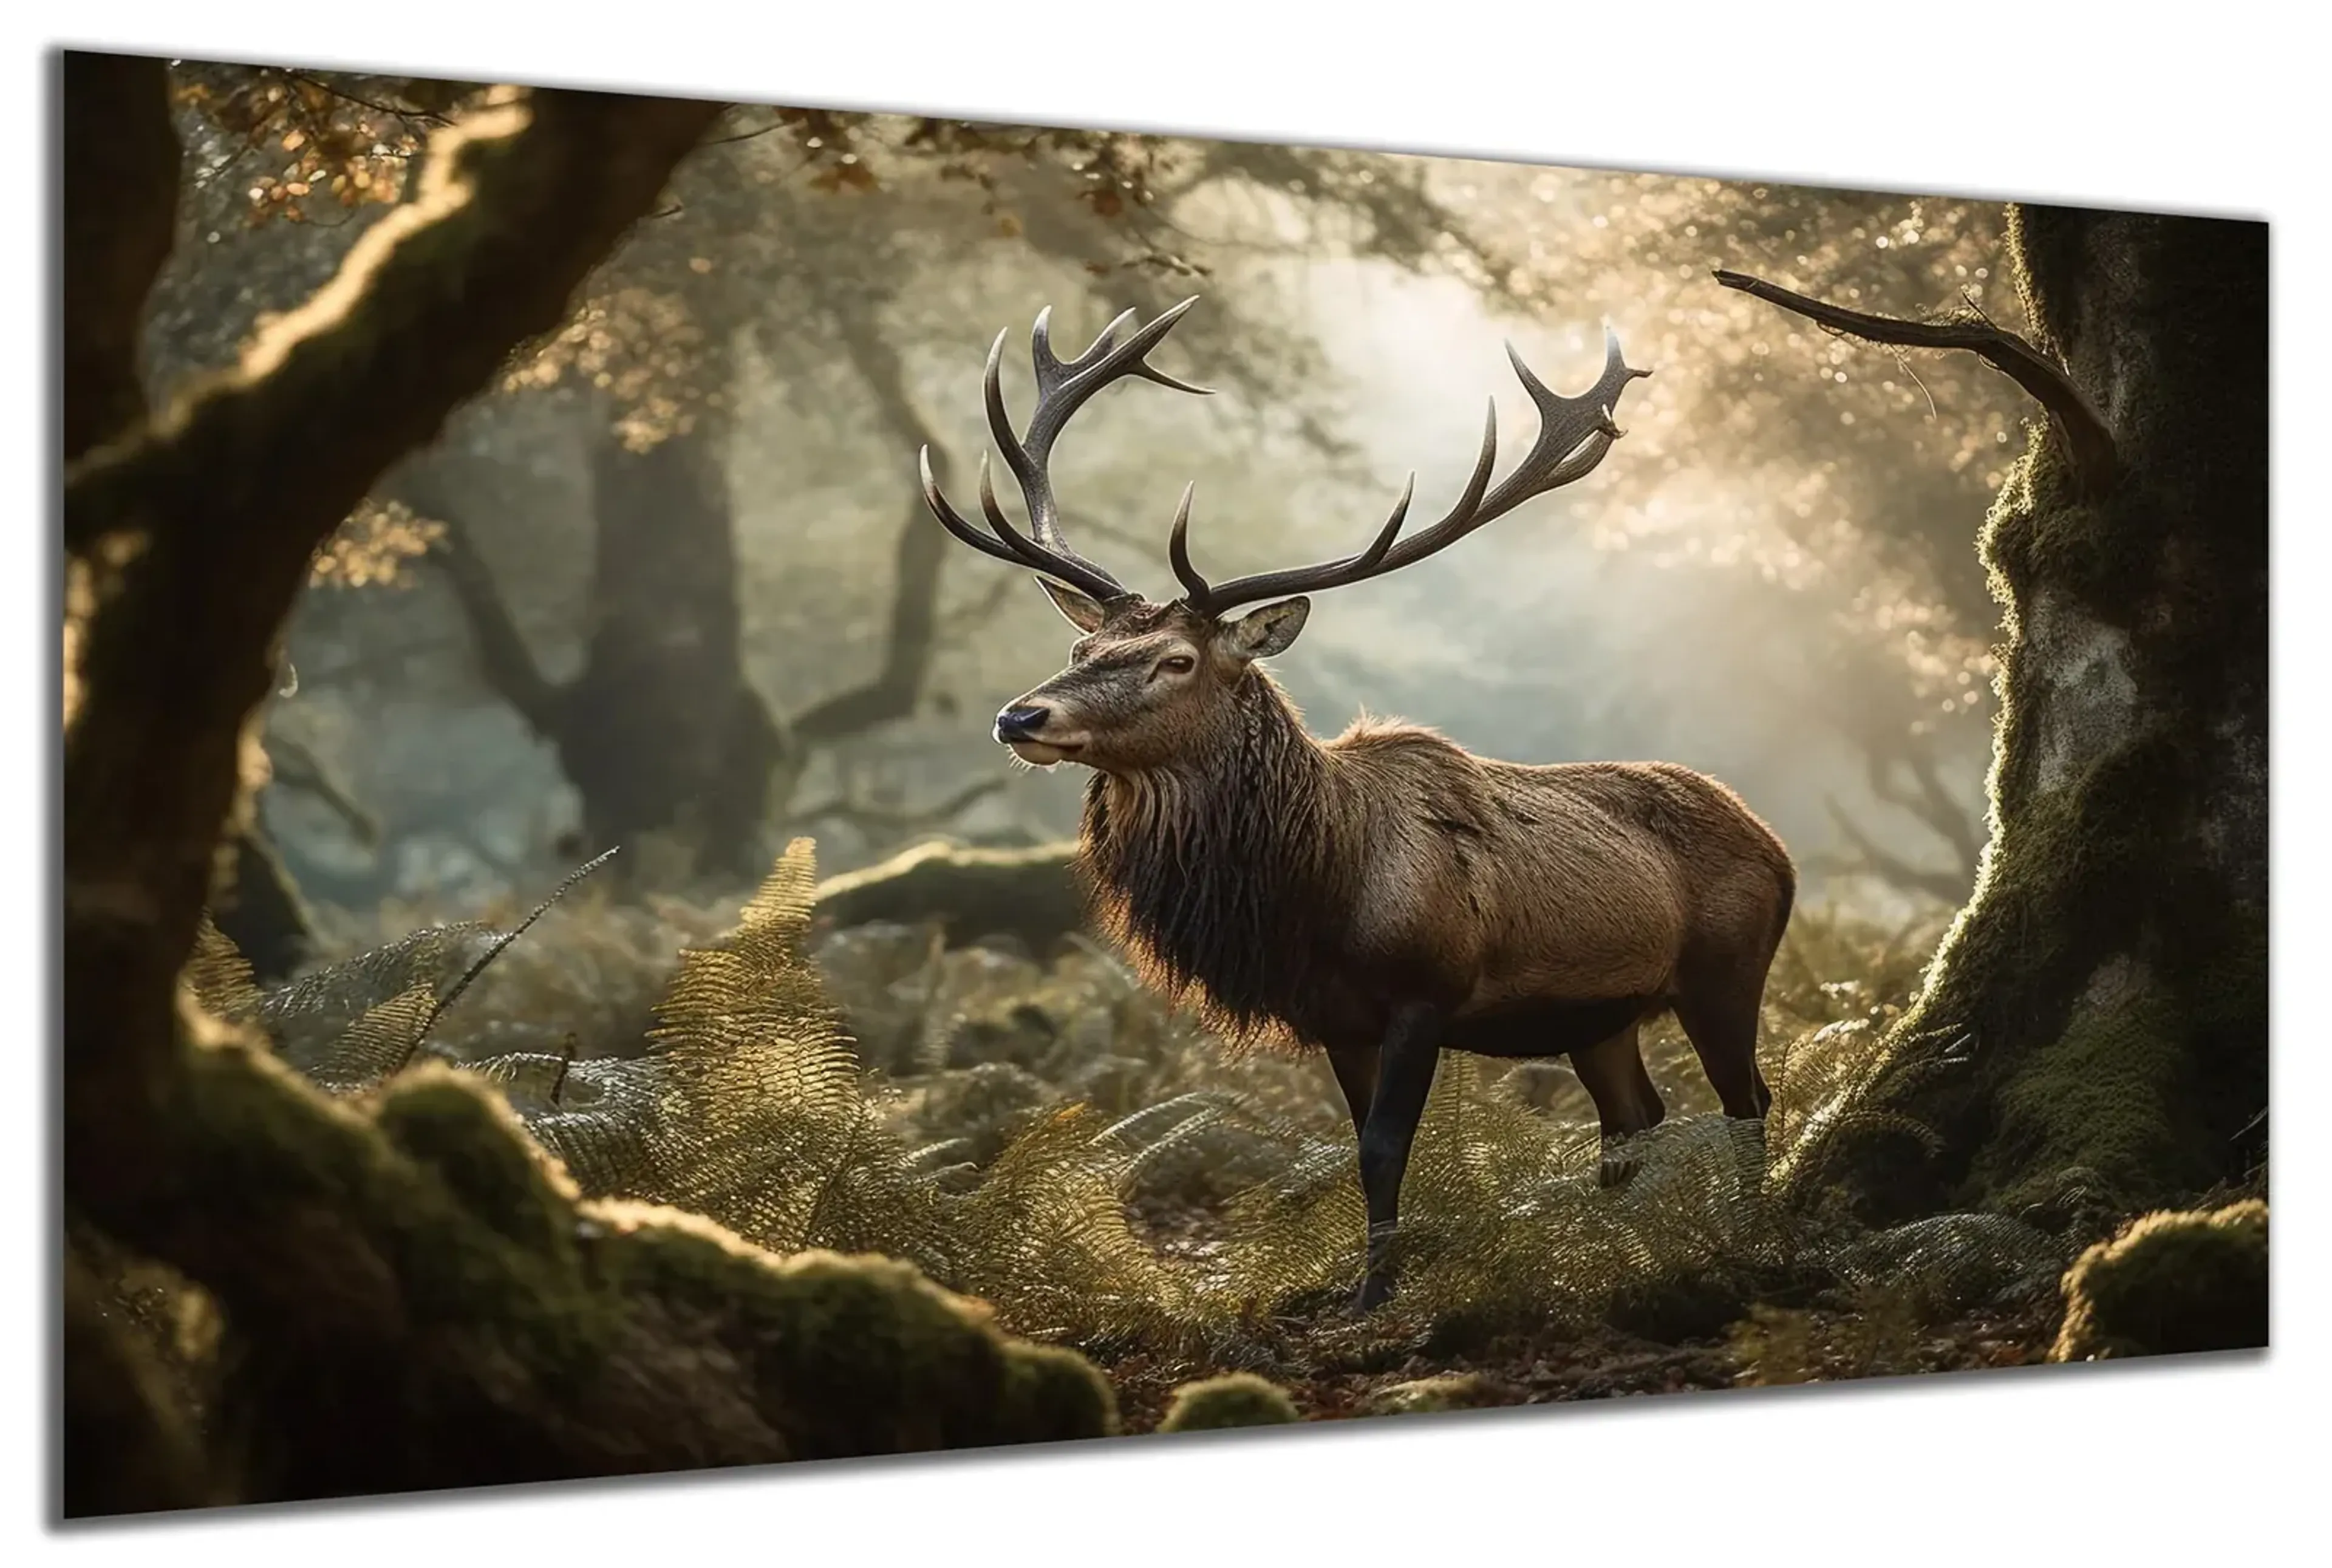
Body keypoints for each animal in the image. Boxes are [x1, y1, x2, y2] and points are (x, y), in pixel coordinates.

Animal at [918, 297, 1796, 1314]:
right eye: (1083, 645)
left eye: (1177, 660)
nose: (1021, 714)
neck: (1318, 893)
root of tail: (1779, 847)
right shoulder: (1334, 1016)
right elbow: (1359, 1149)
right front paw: (1371, 1277)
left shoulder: (1426, 987)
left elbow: (1384, 1144)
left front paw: (1376, 1296)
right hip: (1599, 1011)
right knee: (1635, 1118)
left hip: (1727, 967)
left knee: (1747, 1101)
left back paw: (1748, 1238)